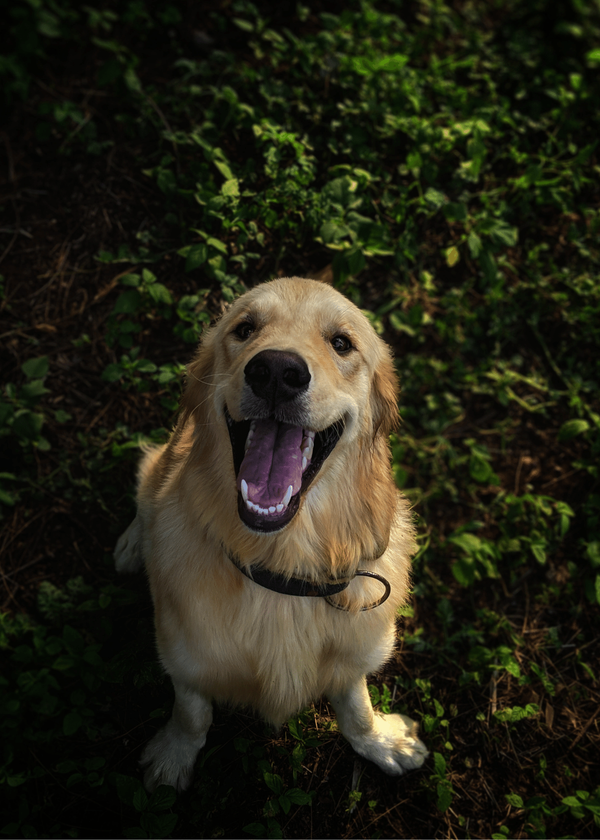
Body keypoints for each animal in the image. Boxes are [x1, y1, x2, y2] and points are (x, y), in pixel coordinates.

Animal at [115, 278, 426, 792]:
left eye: (341, 342)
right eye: (245, 329)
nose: (277, 371)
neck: (282, 567)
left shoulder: (357, 649)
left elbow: (356, 707)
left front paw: (381, 742)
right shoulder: (182, 650)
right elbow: (192, 712)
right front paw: (174, 756)